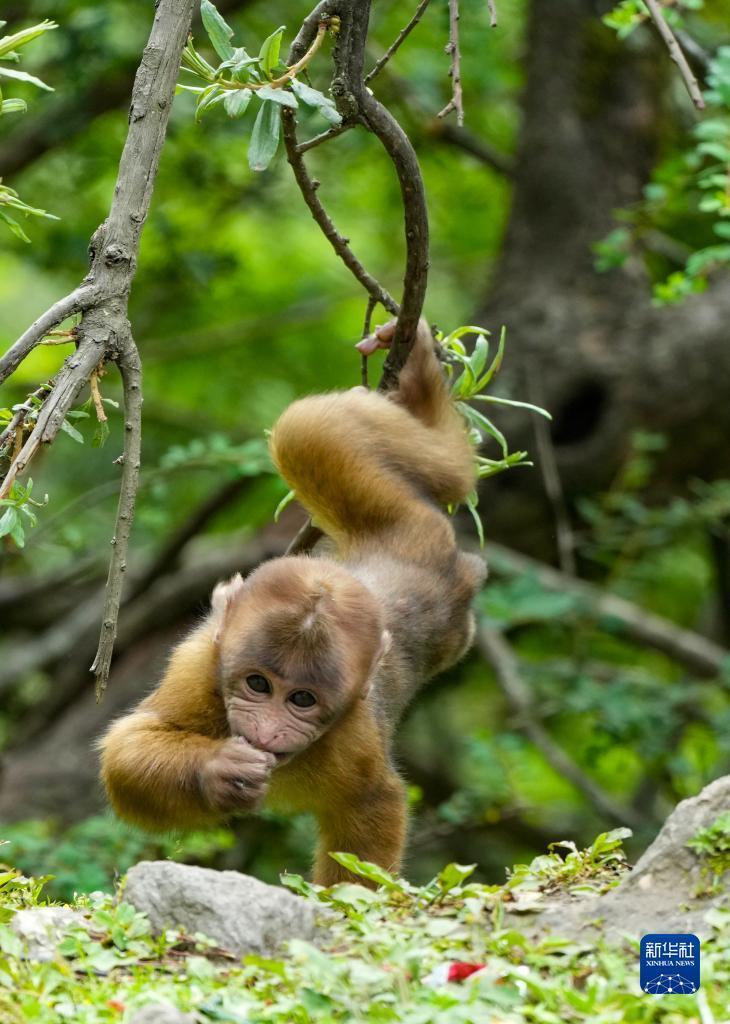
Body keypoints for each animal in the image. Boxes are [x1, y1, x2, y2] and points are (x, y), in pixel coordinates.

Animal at [98, 317, 483, 880]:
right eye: (257, 684)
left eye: (301, 699)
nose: (267, 728)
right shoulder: (199, 666)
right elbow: (129, 746)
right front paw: (219, 771)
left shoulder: (353, 737)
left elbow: (375, 803)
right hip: (391, 514)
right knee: (309, 430)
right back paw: (416, 378)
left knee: (433, 470)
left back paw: (419, 386)